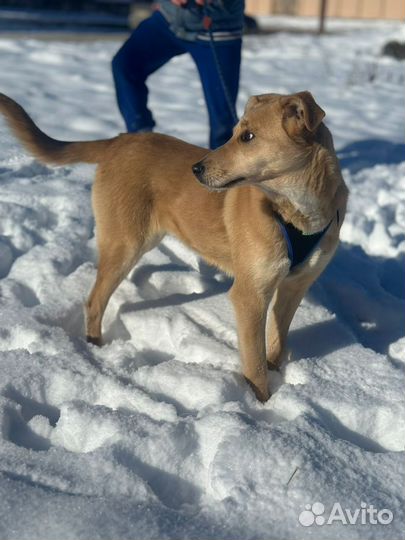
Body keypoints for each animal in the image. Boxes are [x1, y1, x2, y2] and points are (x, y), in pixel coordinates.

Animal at [0, 90, 348, 400]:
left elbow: (276, 343)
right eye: (234, 133)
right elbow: (255, 365)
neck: (298, 212)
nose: (196, 169)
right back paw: (95, 348)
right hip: (125, 244)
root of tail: (118, 140)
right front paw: (261, 407)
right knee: (94, 301)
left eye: (248, 137)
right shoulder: (250, 295)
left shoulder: (295, 285)